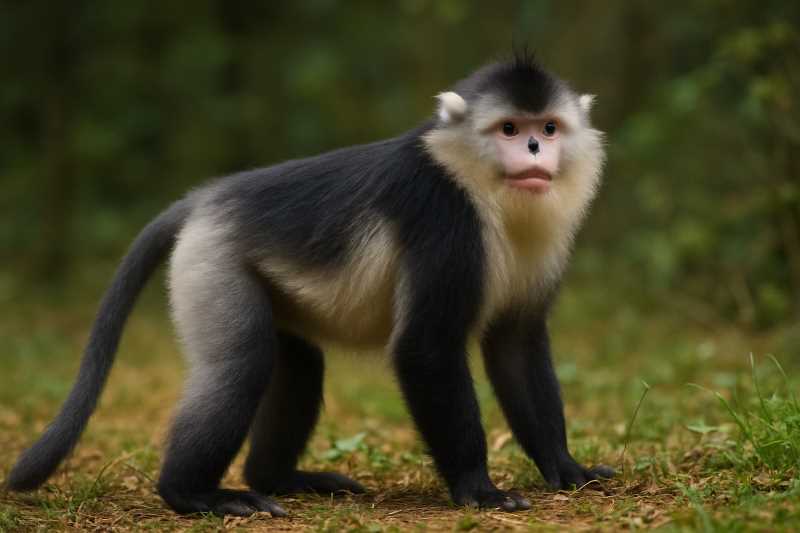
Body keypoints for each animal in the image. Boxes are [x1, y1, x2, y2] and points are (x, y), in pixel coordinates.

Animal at [7, 54, 615, 517]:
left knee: (297, 365)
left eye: (548, 128)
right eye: (510, 129)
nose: (535, 151)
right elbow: (425, 348)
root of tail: (206, 200)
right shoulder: (444, 219)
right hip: (210, 263)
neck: (482, 185)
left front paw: (566, 468)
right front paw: (478, 488)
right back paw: (192, 494)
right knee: (241, 363)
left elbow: (515, 344)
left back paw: (277, 478)